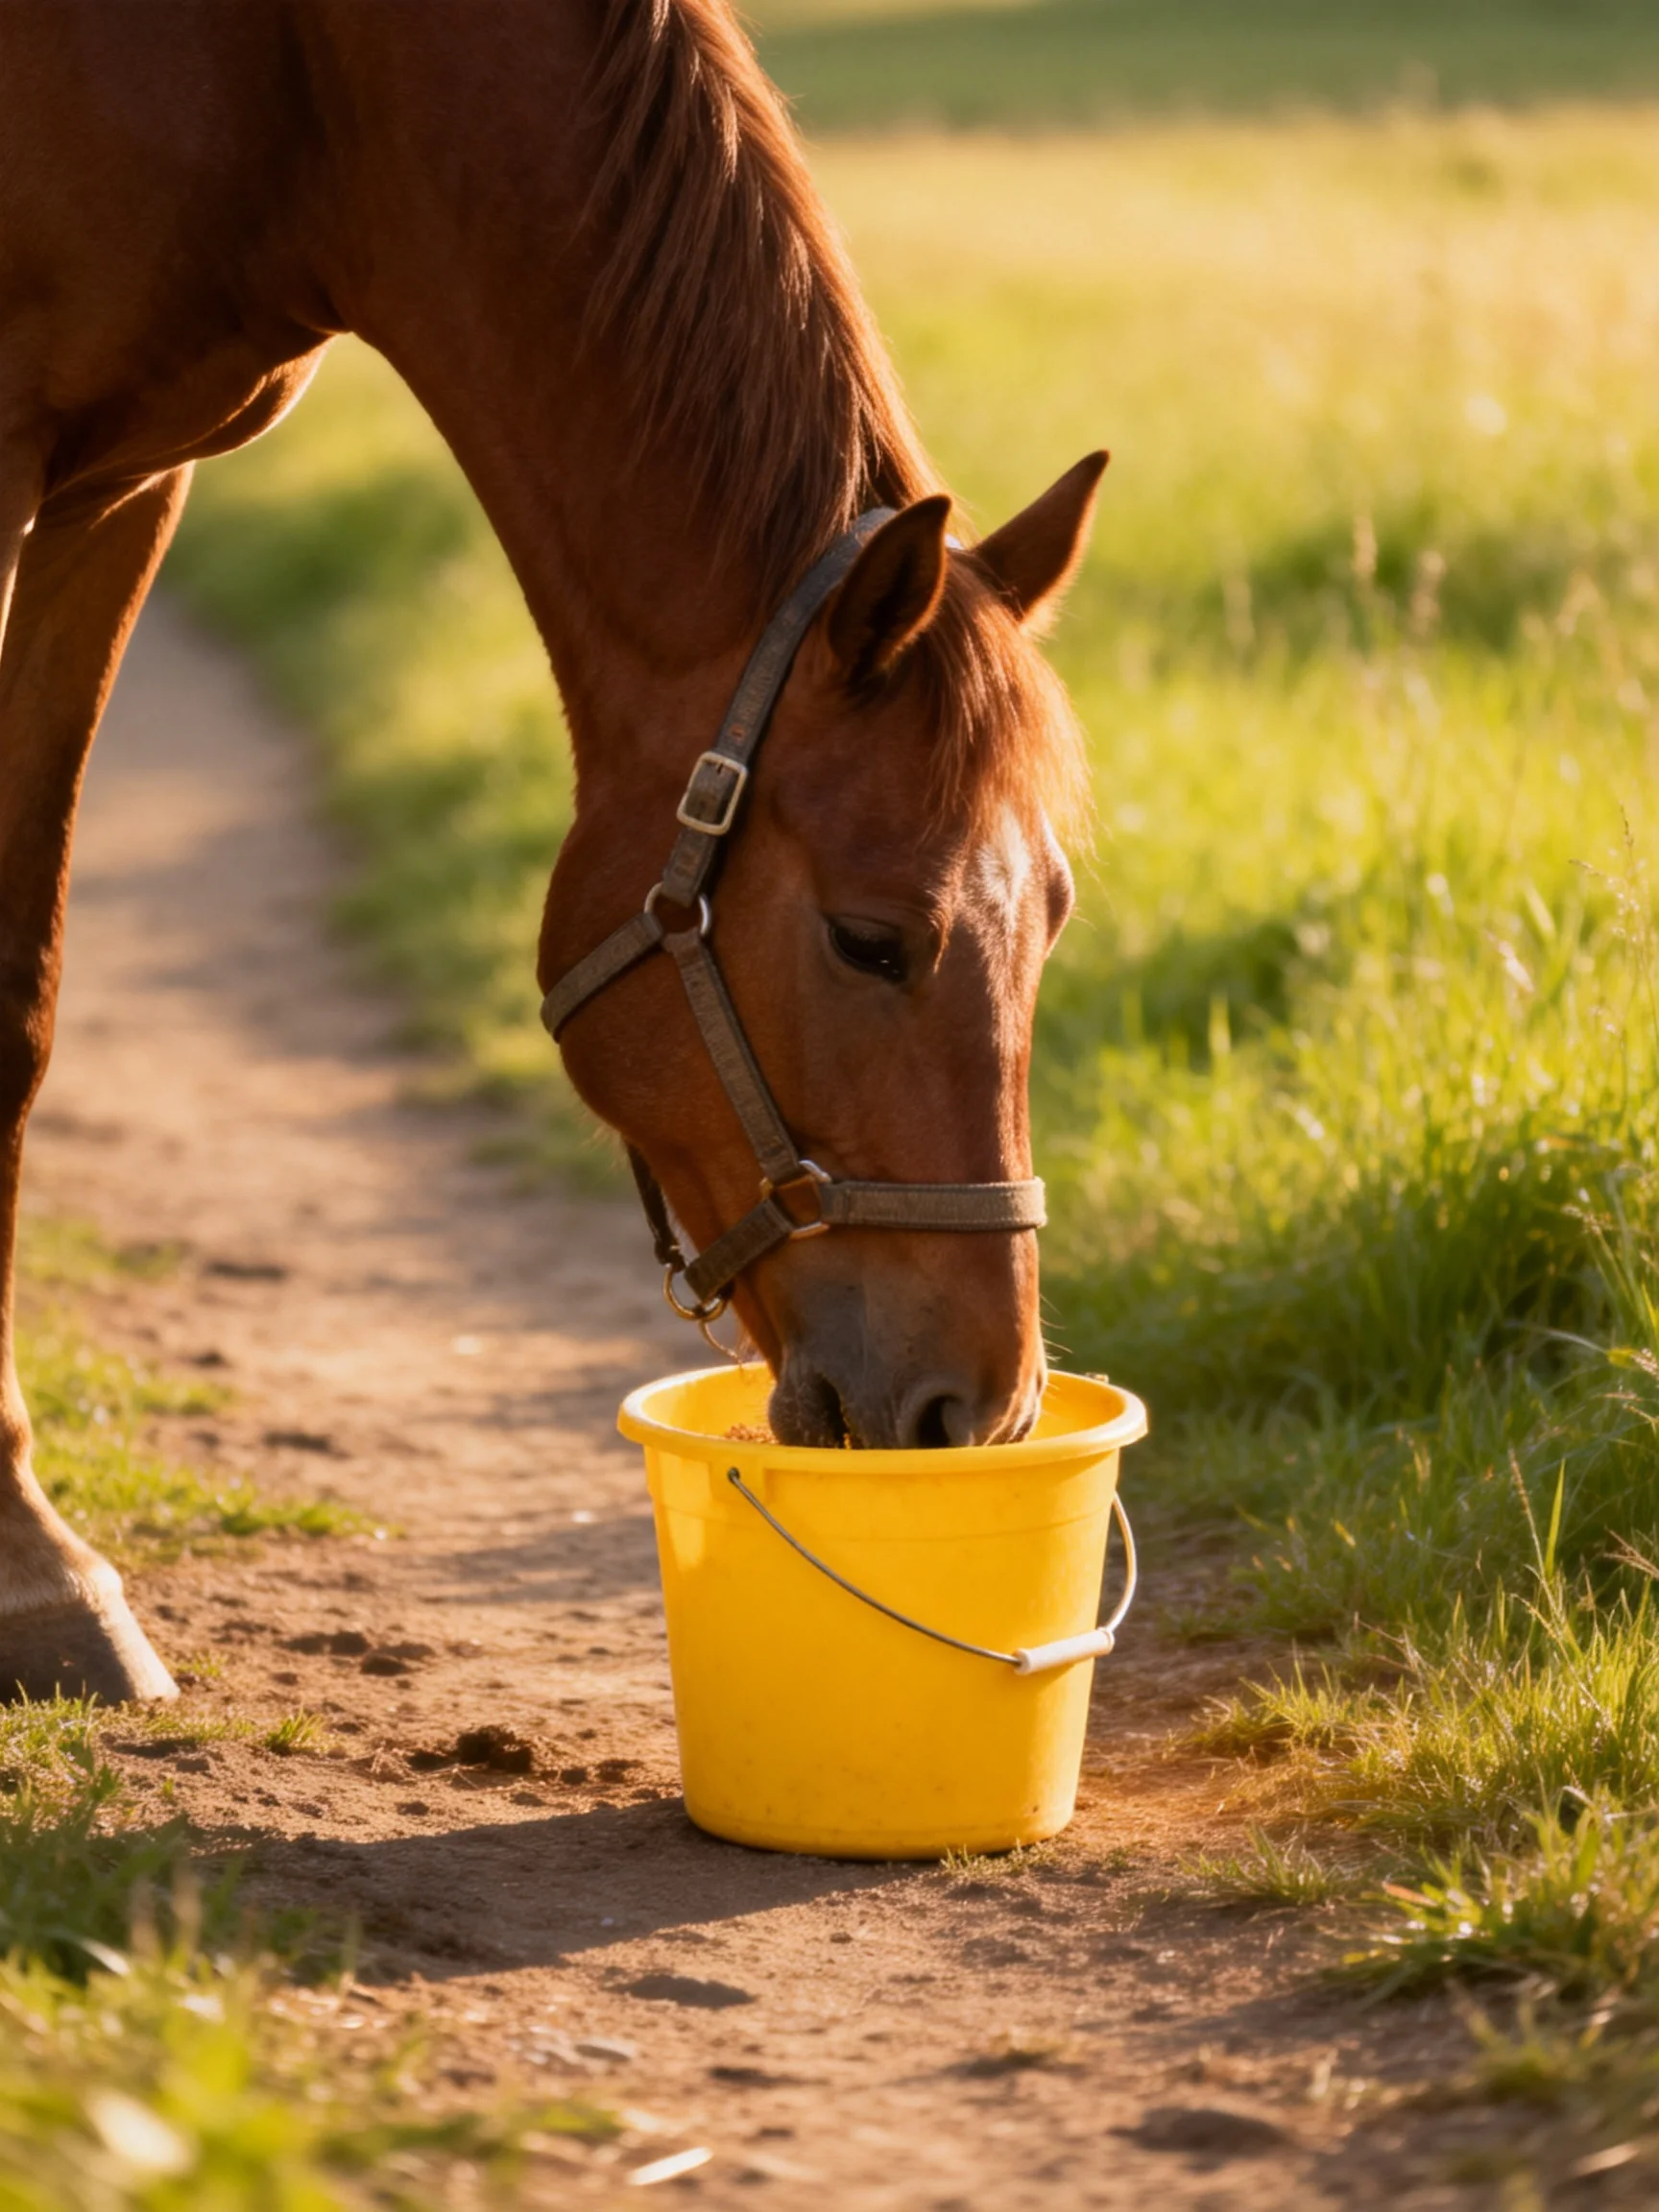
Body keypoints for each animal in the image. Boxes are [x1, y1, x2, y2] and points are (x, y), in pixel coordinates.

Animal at [0, 0, 1106, 1705]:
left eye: (1048, 921)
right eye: (873, 940)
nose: (976, 1409)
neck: (296, 72)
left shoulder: (120, 495)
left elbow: (24, 1001)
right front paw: (24, 1560)